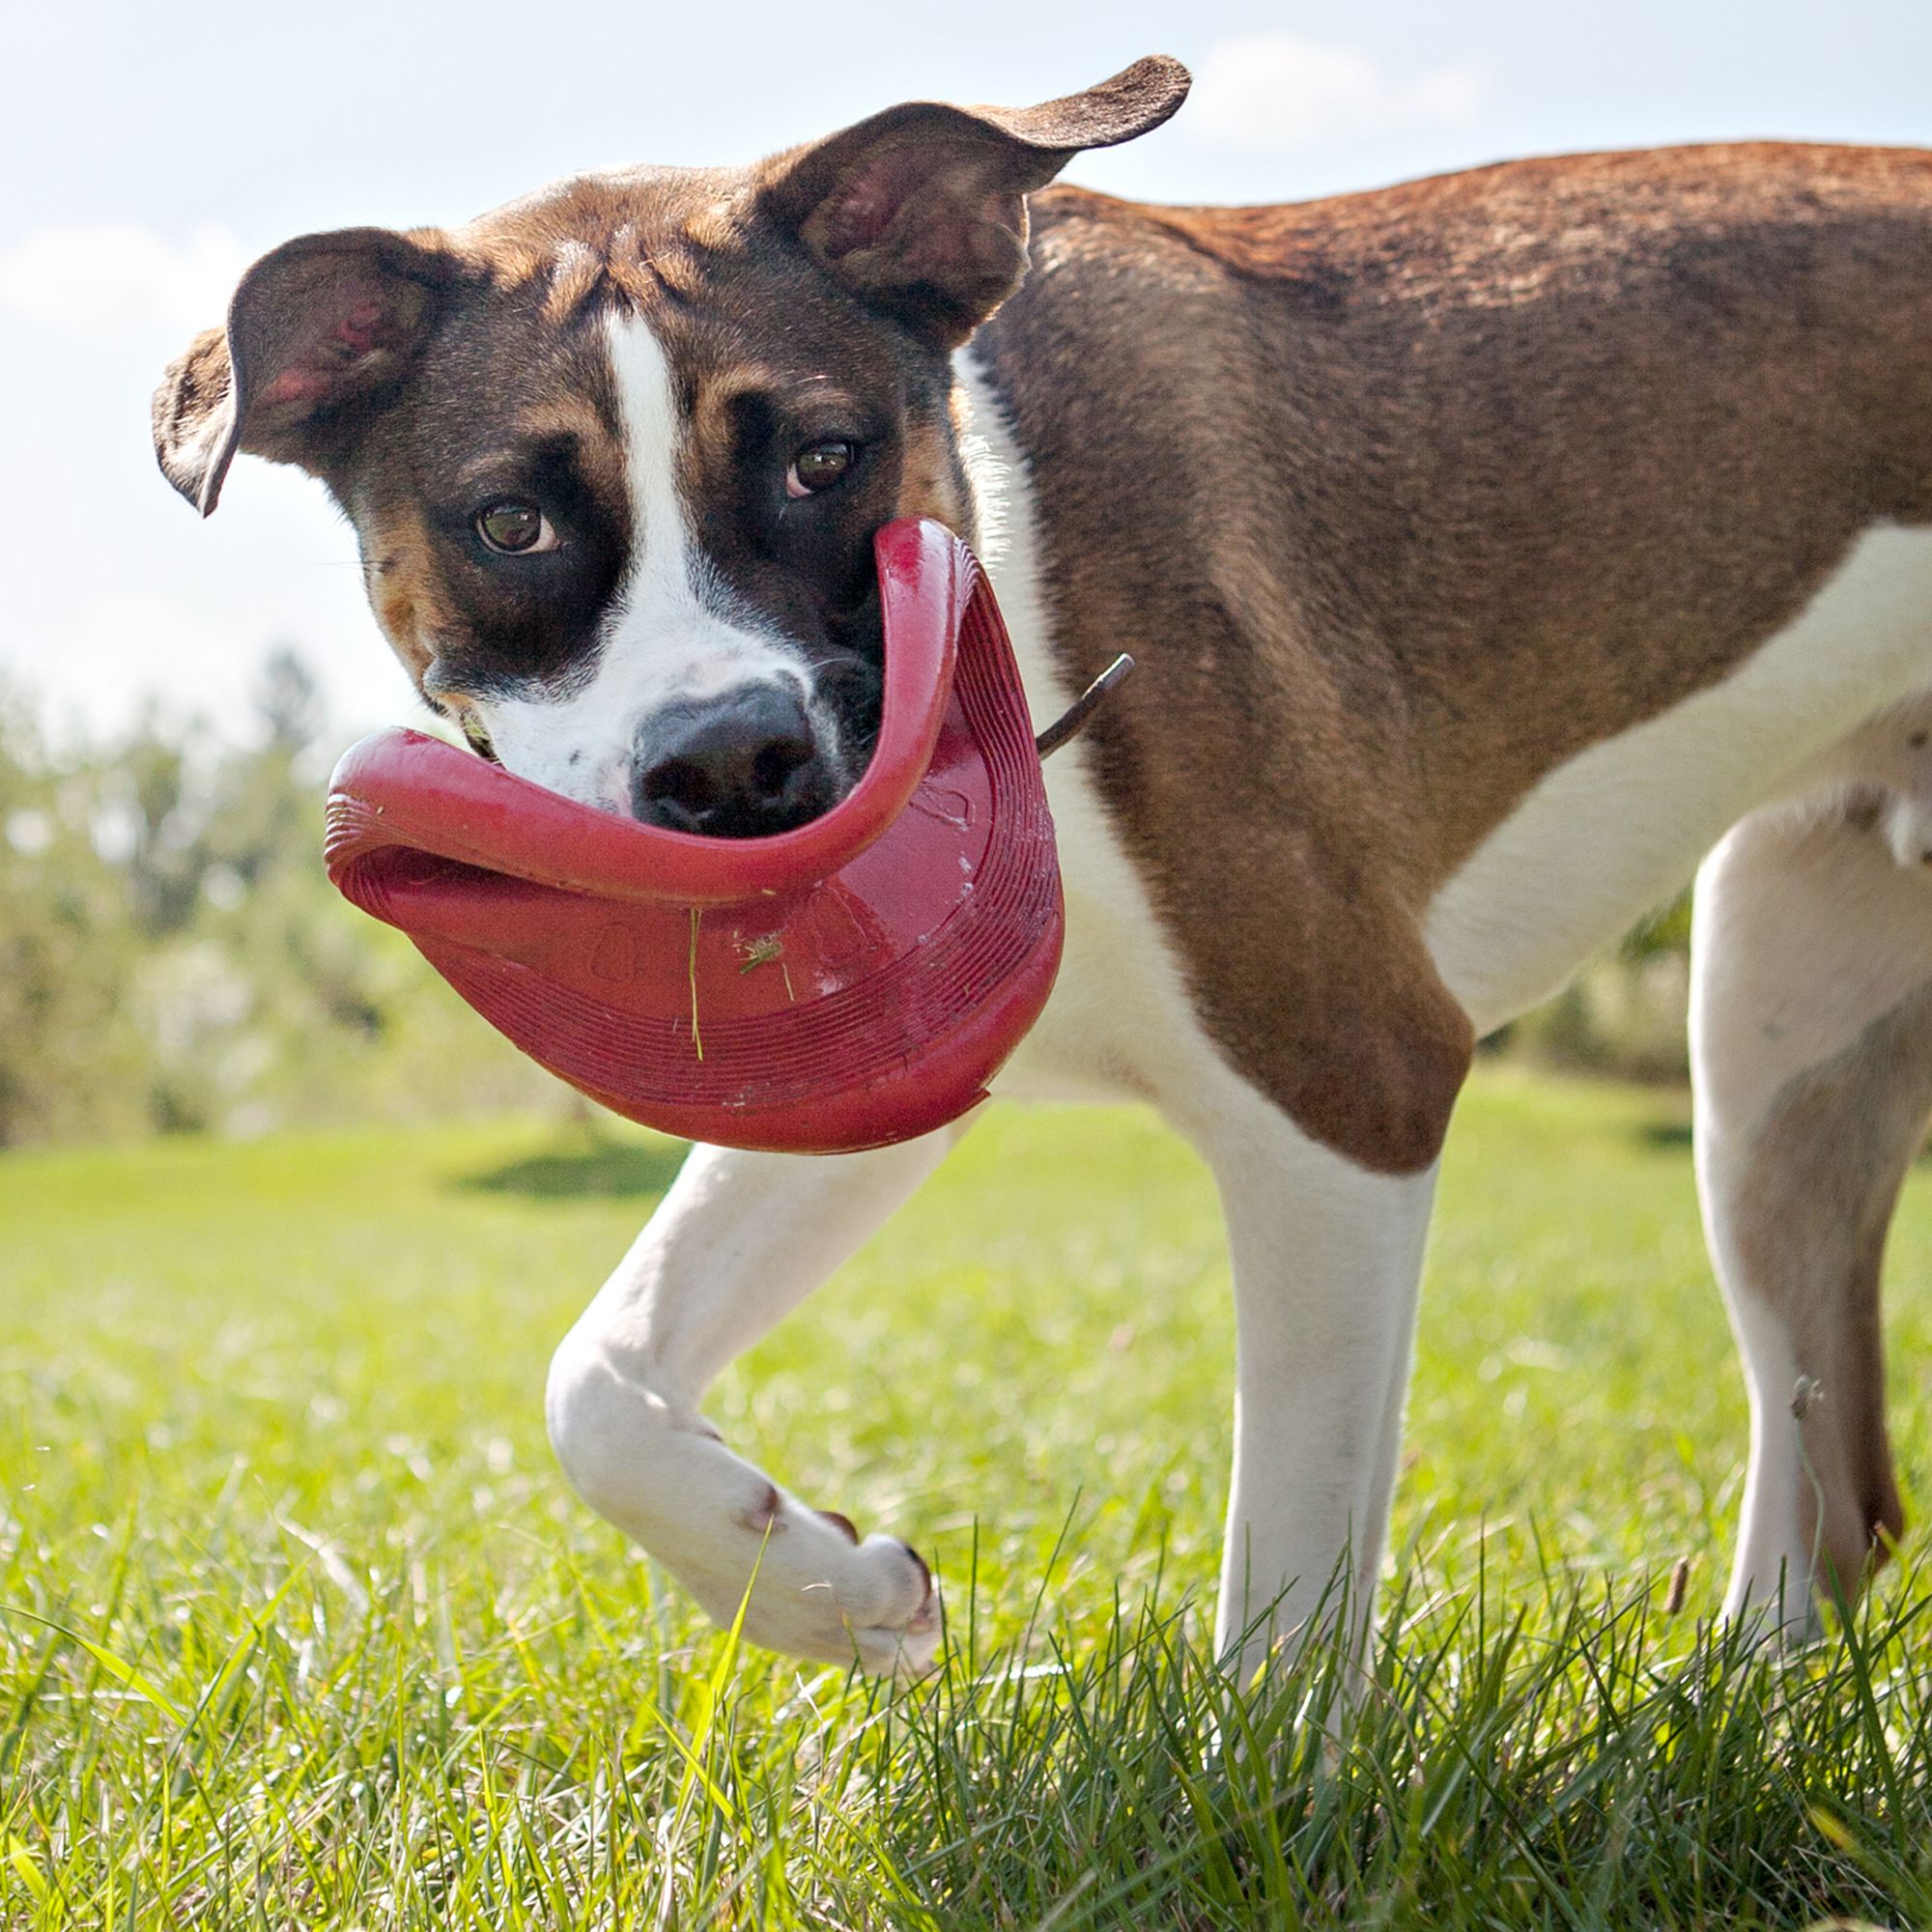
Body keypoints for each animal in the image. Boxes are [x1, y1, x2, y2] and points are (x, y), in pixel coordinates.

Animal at [158, 56, 1932, 1692]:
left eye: (822, 461)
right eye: (512, 522)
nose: (732, 764)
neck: (1009, 605)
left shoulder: (1349, 1090)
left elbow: (1288, 1599)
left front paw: (1270, 1791)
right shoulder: (865, 1078)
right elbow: (596, 1385)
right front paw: (826, 1592)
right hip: (1782, 1031)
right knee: (1832, 1474)